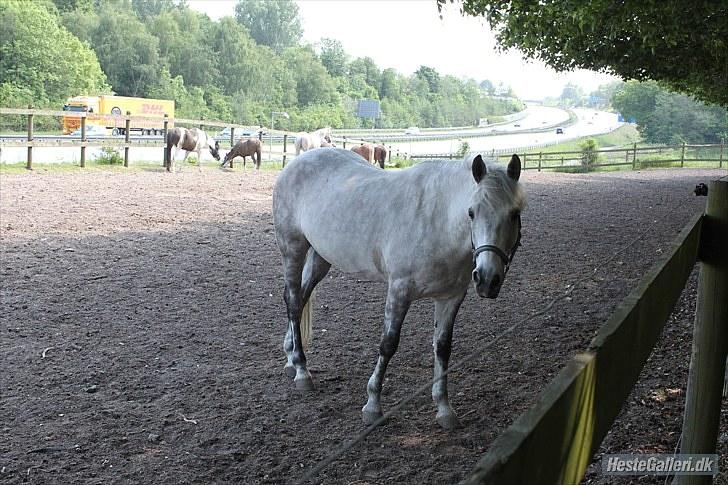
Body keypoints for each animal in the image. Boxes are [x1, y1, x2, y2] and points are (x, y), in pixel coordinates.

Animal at [272, 148, 524, 428]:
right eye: (471, 212)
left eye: (514, 214)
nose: (487, 279)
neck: (437, 222)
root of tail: (297, 161)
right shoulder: (399, 291)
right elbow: (388, 344)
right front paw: (373, 405)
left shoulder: (451, 297)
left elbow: (443, 348)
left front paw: (444, 409)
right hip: (292, 249)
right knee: (293, 300)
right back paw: (302, 371)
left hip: (320, 258)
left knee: (301, 298)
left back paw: (291, 359)